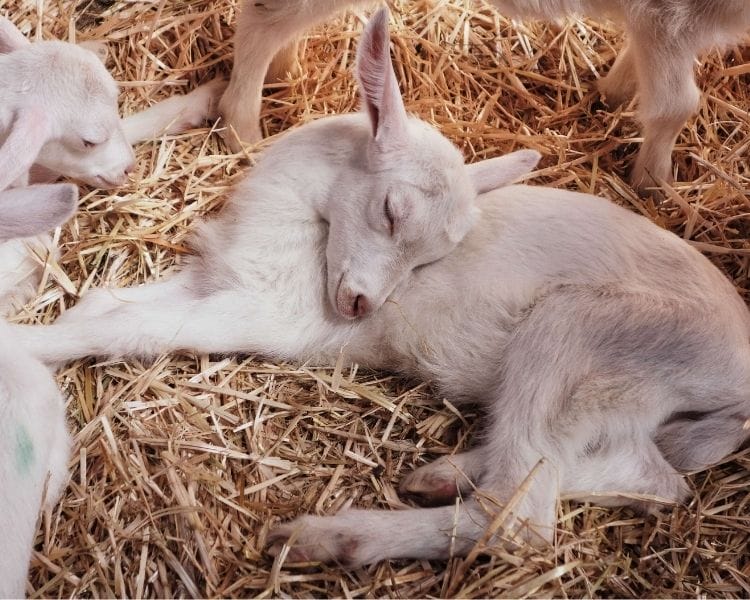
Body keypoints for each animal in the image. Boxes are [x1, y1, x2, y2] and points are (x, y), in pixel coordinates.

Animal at [218, 0, 750, 191]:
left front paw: (609, 95)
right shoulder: (669, 16)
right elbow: (676, 106)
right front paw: (653, 186)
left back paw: (286, 71)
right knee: (262, 21)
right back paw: (241, 129)